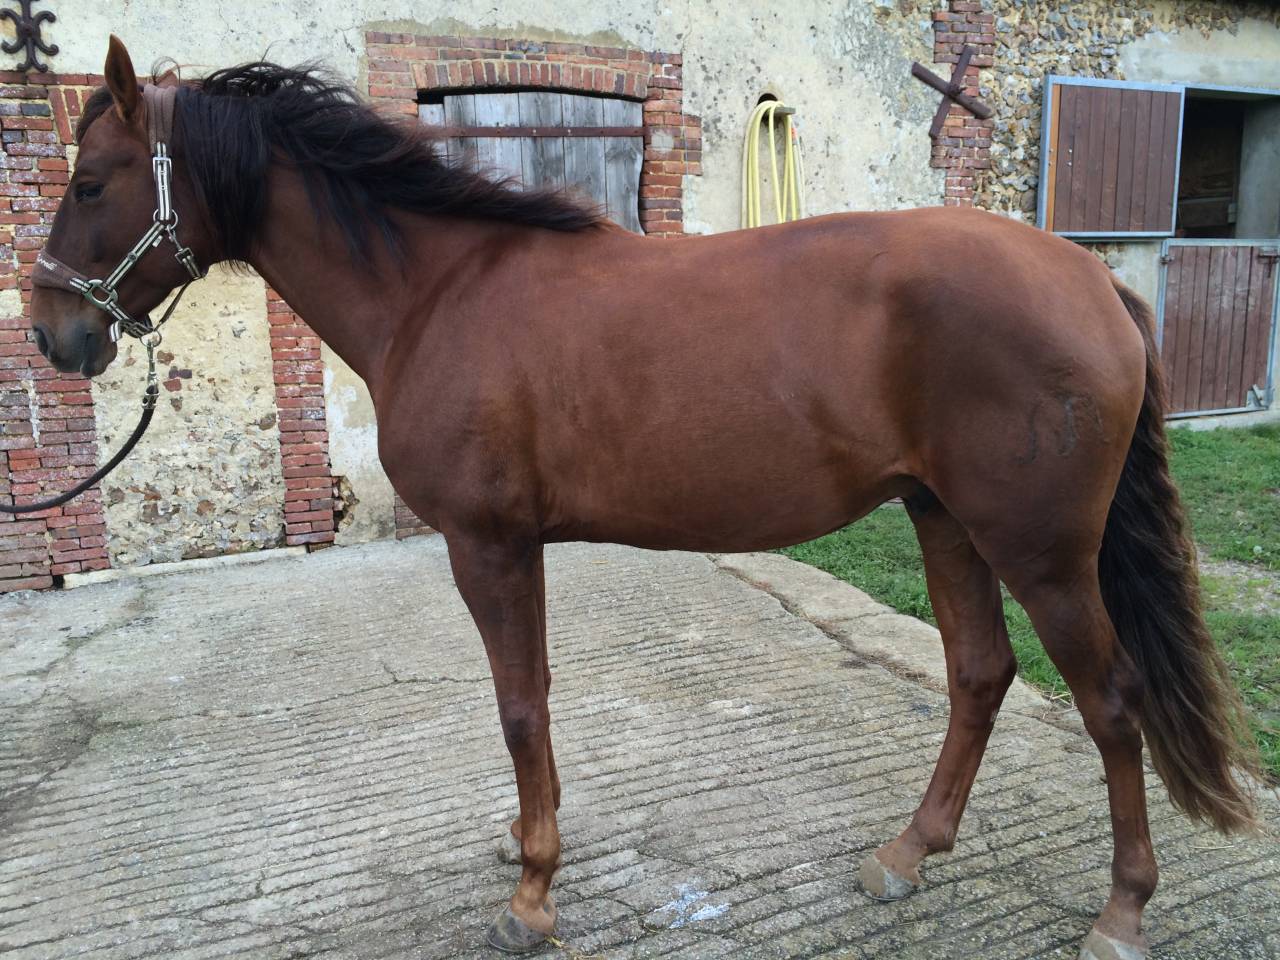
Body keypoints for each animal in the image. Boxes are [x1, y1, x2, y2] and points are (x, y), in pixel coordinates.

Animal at [28, 36, 1260, 960]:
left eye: (89, 183)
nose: (54, 335)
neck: (437, 291)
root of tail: (1085, 275)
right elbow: (528, 705)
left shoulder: (490, 544)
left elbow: (521, 706)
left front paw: (531, 895)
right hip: (942, 517)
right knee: (979, 674)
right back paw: (905, 857)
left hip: (1041, 549)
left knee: (1110, 702)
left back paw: (1120, 913)